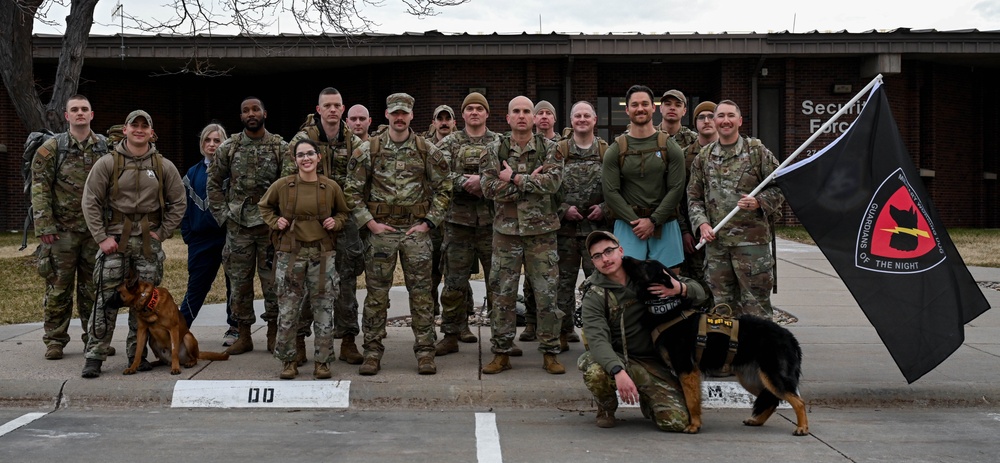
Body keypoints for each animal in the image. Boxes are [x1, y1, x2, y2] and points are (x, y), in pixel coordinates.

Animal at [624, 256, 812, 436]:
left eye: (646, 263)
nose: (625, 257)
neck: (668, 308)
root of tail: (790, 337)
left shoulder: (687, 370)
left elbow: (691, 401)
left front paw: (694, 426)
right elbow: (689, 398)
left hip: (772, 376)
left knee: (798, 401)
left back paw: (802, 428)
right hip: (751, 379)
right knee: (772, 399)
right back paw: (757, 421)